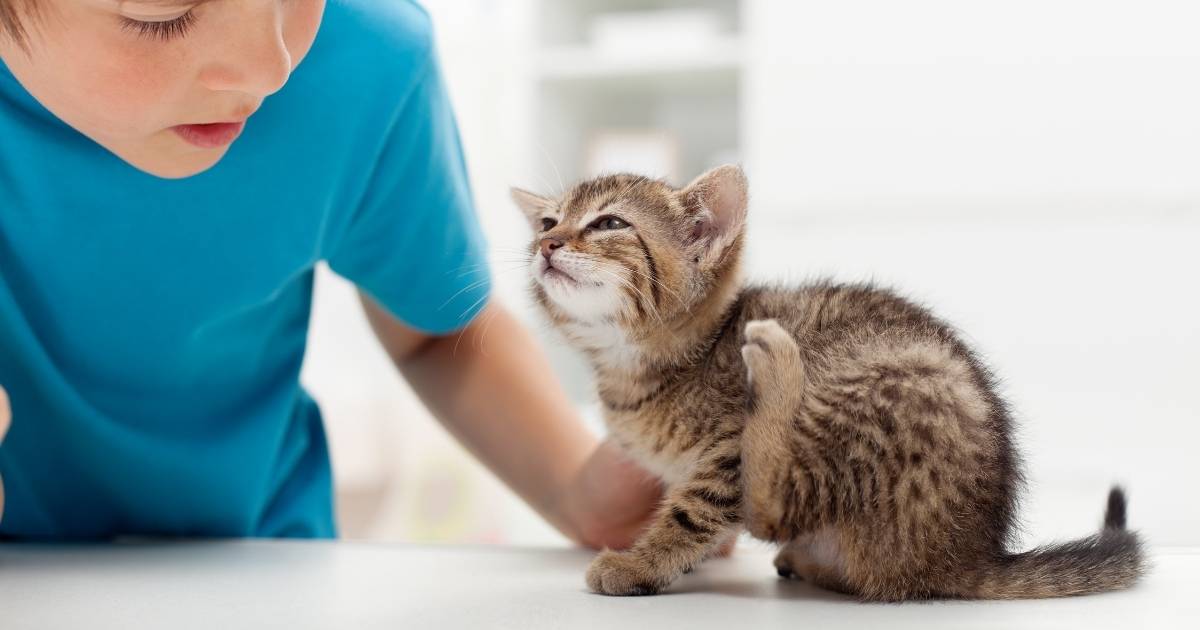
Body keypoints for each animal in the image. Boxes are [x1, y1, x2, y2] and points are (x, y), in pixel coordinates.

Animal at [511, 164, 1147, 597]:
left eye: (609, 223)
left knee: (774, 507)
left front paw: (640, 563)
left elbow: (696, 512)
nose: (547, 243)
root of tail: (968, 555)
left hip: (880, 379)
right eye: (548, 221)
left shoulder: (724, 454)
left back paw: (777, 365)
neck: (636, 365)